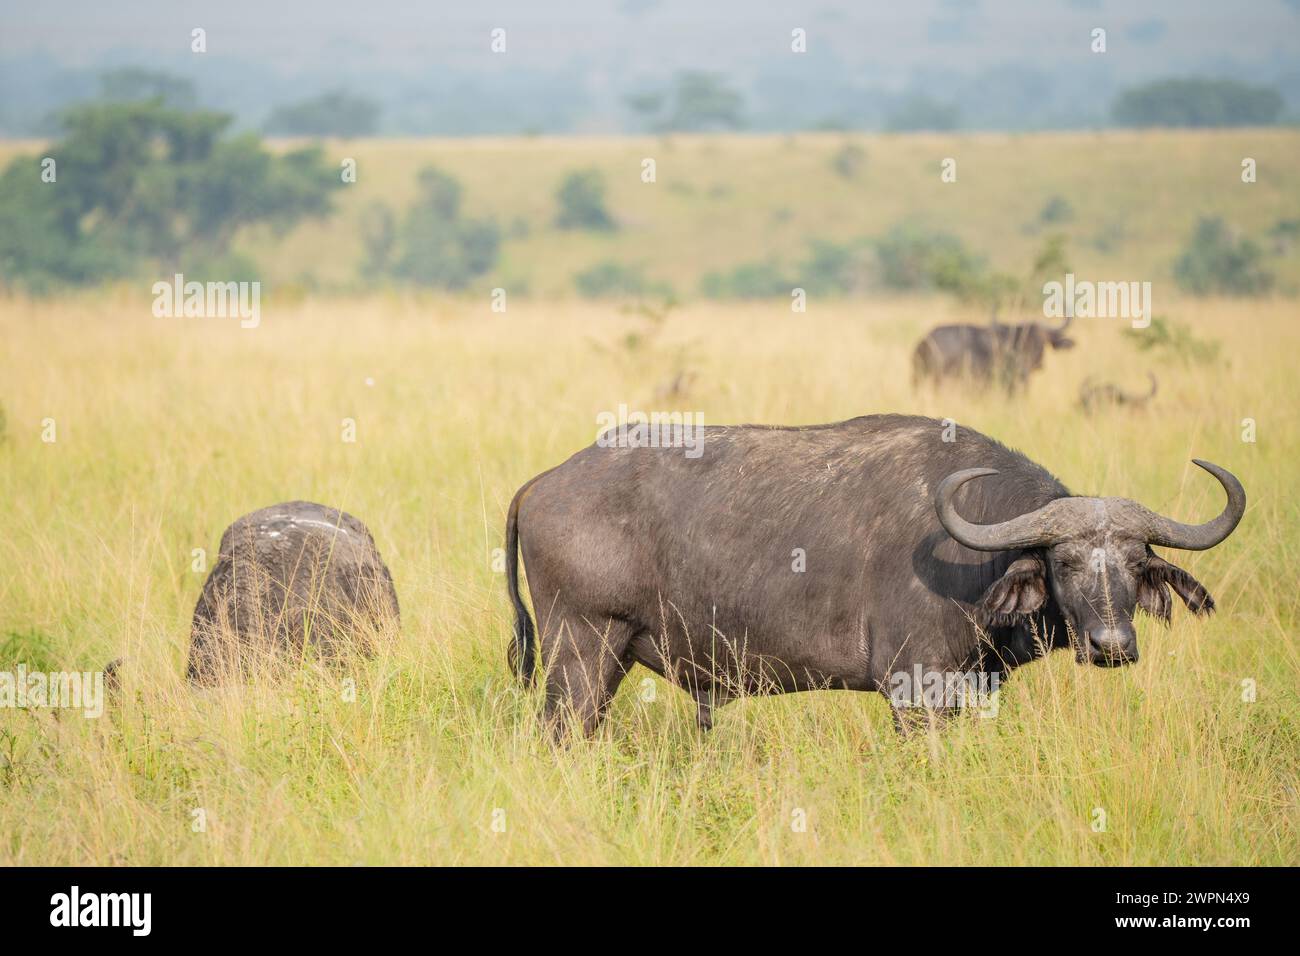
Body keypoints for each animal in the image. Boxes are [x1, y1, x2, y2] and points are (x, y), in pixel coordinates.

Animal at [501, 416, 1242, 738]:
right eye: (1064, 562)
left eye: (1136, 564)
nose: (1112, 645)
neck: (974, 550)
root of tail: (547, 480)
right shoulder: (916, 691)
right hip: (582, 652)